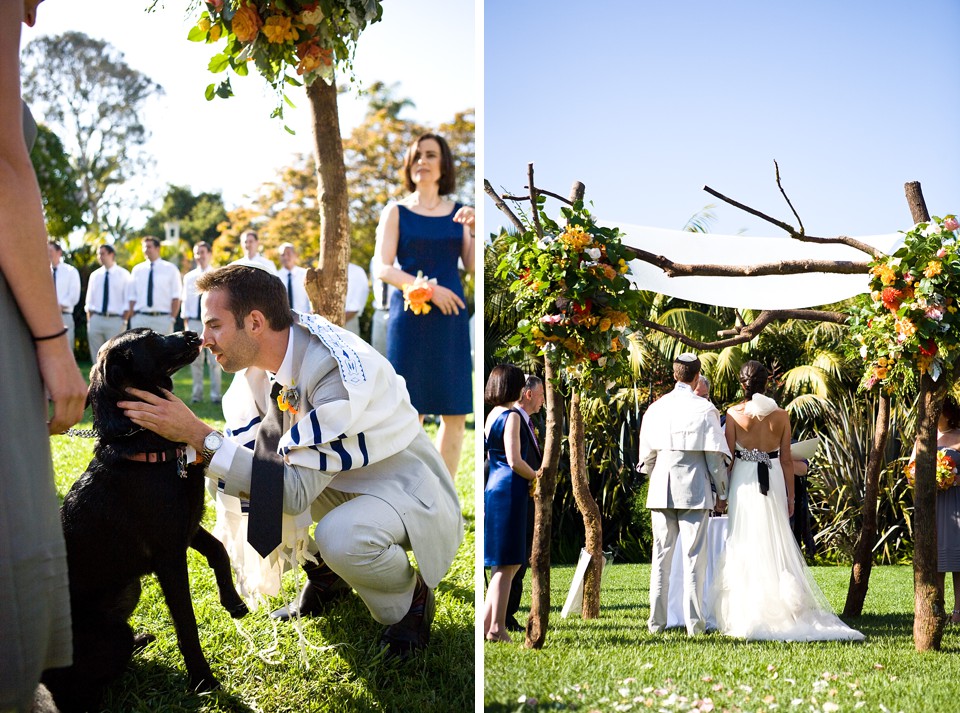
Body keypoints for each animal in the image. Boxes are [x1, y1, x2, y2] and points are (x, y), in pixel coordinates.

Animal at [44, 328, 248, 712]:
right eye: (151, 340)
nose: (194, 333)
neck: (144, 444)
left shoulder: (187, 528)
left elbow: (219, 551)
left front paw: (233, 601)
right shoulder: (169, 556)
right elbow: (186, 623)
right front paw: (204, 681)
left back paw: (143, 639)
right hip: (112, 633)